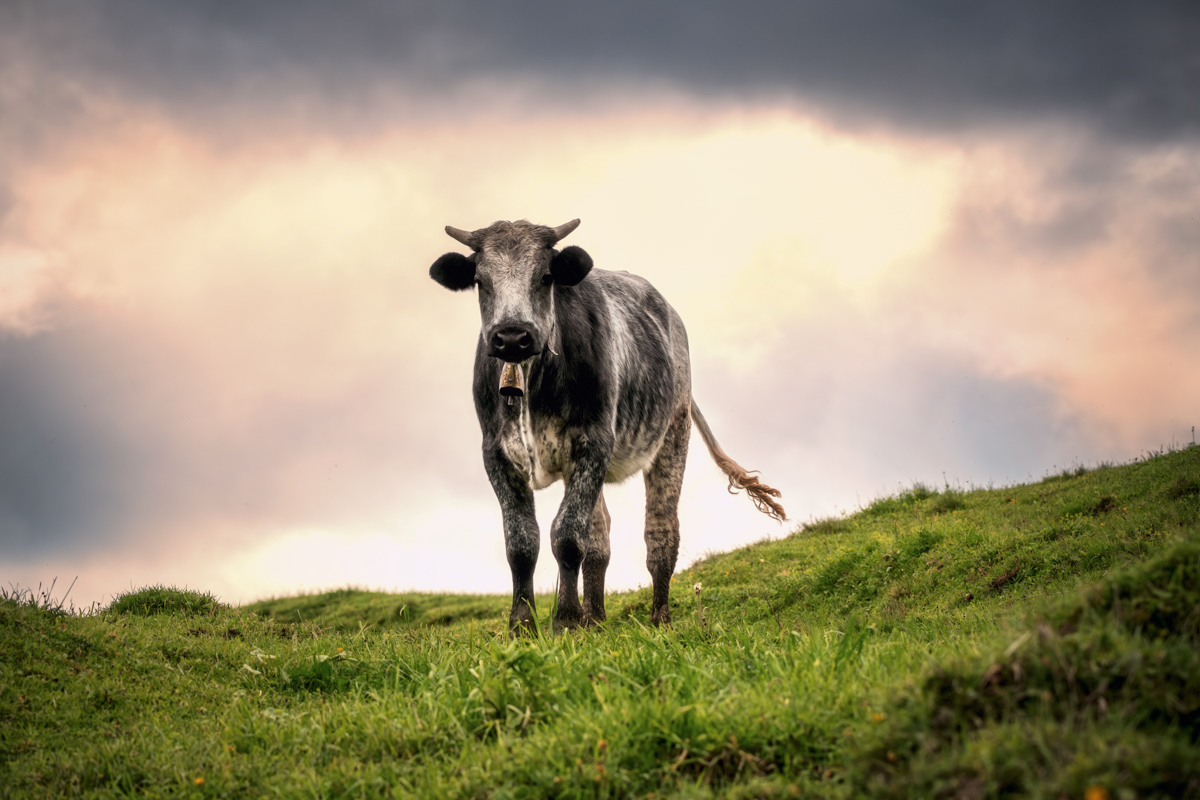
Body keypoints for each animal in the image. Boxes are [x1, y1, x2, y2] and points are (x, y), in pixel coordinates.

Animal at [429, 218, 785, 632]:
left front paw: (566, 620)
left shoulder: (595, 441)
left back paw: (658, 619)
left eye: (546, 276)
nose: (513, 337)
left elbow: (567, 536)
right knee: (599, 537)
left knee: (660, 531)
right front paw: (523, 627)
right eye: (480, 281)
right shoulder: (496, 453)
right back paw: (595, 621)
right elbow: (522, 543)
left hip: (672, 431)